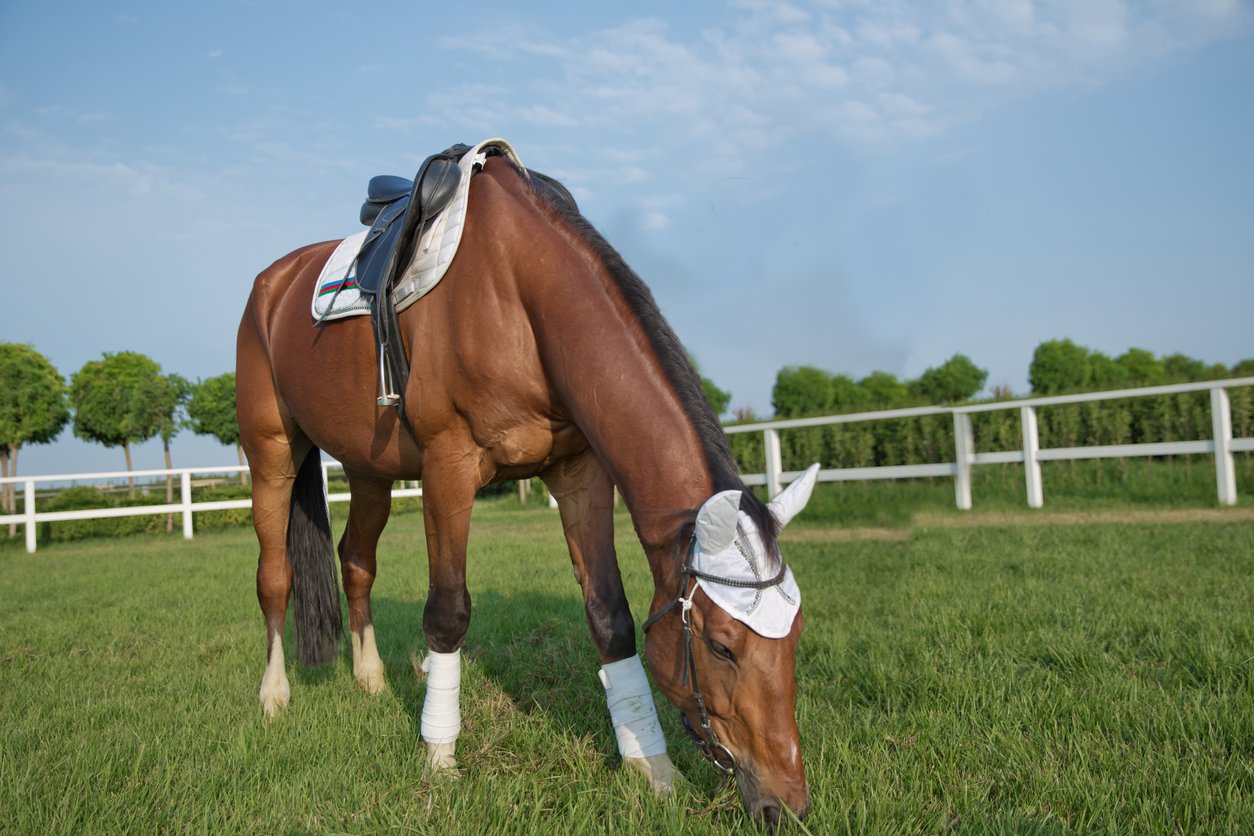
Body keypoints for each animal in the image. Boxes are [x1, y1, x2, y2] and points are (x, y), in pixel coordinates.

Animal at [236, 147, 817, 825]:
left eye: (796, 634)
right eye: (723, 647)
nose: (787, 803)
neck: (520, 296)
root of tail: (270, 283)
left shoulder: (581, 473)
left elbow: (610, 617)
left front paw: (652, 766)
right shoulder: (449, 467)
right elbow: (448, 614)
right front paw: (440, 758)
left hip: (369, 469)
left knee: (355, 562)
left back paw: (371, 678)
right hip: (272, 455)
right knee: (275, 578)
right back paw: (275, 694)